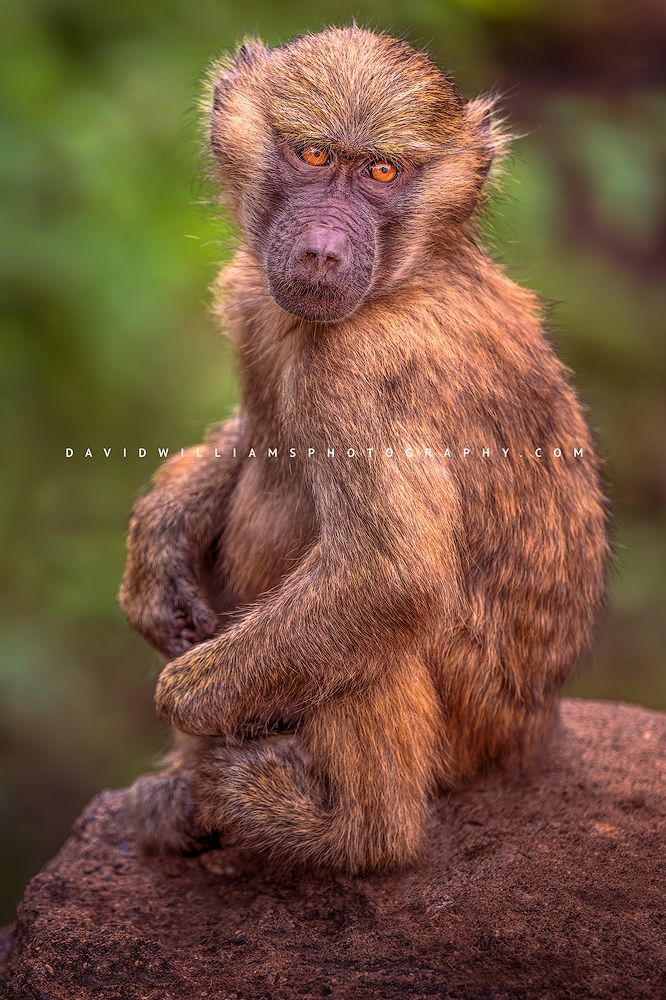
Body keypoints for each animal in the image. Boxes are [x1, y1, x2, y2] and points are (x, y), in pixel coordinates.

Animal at [119, 26, 609, 873]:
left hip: (468, 723)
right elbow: (253, 431)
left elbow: (391, 573)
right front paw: (160, 543)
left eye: (382, 172)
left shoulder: (360, 367)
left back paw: (344, 830)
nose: (322, 251)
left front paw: (186, 700)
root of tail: (532, 732)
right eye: (313, 155)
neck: (409, 273)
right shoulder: (254, 301)